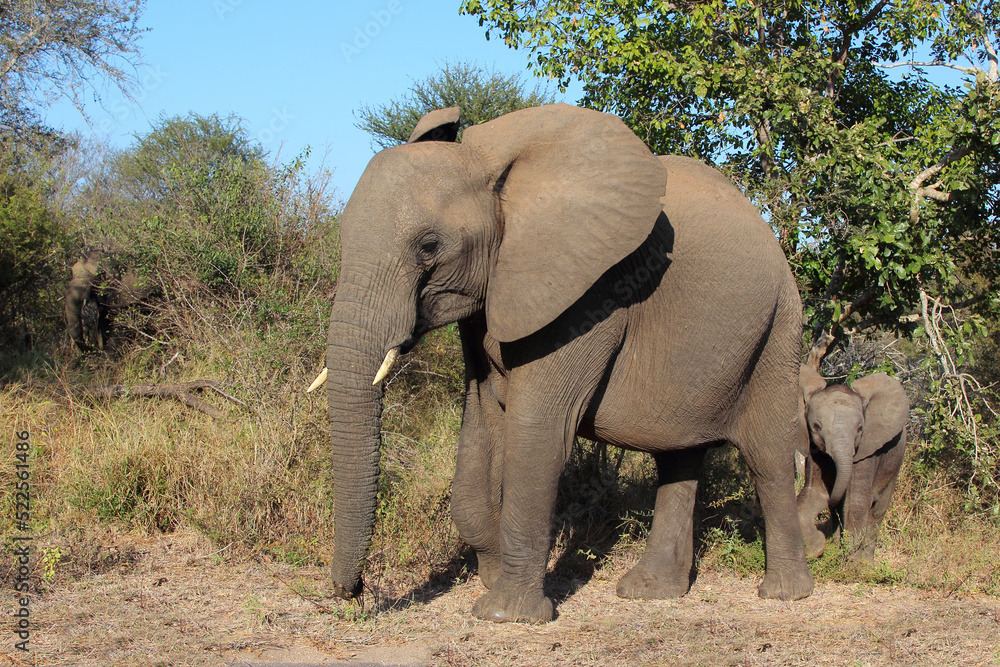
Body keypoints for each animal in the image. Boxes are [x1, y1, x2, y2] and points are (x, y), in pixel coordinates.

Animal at [314, 103, 813, 623]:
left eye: (429, 245)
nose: (353, 593)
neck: (490, 164)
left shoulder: (591, 292)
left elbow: (538, 429)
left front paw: (505, 614)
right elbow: (482, 423)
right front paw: (491, 577)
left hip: (780, 324)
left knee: (767, 456)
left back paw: (784, 593)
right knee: (678, 457)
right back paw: (650, 591)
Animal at [795, 364, 909, 561]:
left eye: (860, 429)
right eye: (816, 427)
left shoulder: (866, 454)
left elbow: (857, 502)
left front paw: (849, 561)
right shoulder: (814, 451)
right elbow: (814, 493)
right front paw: (815, 547)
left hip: (895, 463)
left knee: (877, 511)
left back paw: (865, 563)